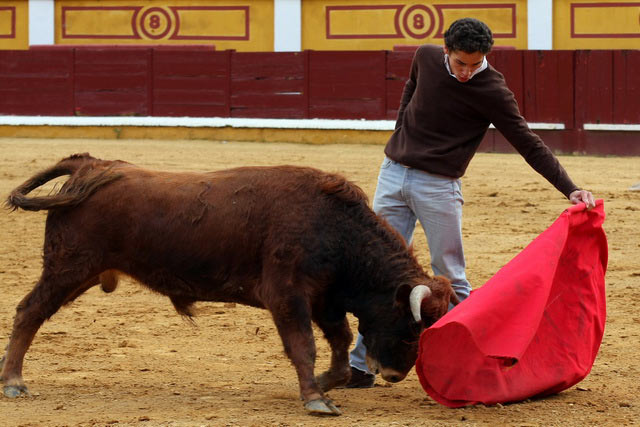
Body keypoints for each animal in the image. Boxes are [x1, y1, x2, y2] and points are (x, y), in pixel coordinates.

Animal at [2, 154, 458, 414]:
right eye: (410, 328)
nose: (395, 375)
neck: (334, 227)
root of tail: (90, 167)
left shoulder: (325, 298)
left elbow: (340, 342)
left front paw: (327, 384)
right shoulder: (287, 295)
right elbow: (304, 344)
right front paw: (315, 398)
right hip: (67, 267)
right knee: (29, 312)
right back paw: (13, 382)